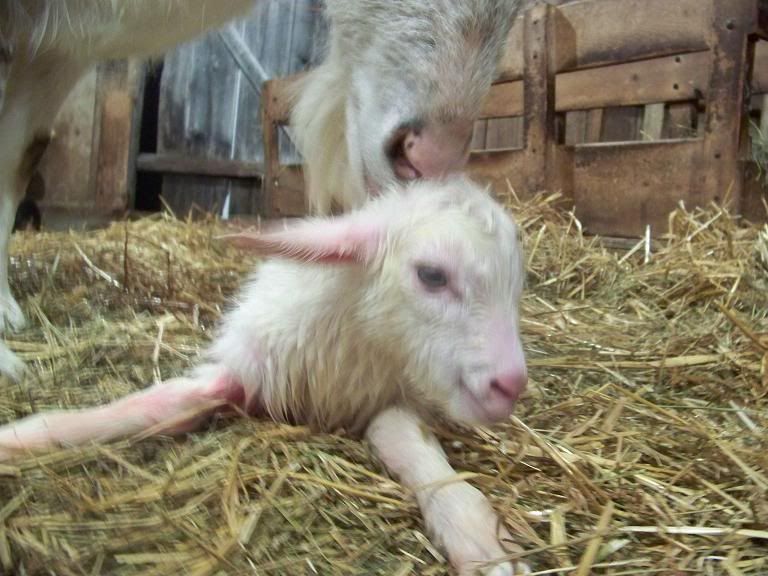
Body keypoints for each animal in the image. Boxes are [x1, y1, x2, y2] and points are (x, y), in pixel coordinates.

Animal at [0, 176, 531, 575]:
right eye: (432, 275)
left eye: (515, 283)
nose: (511, 385)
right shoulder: (251, 364)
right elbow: (160, 403)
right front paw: (23, 438)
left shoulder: (388, 396)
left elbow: (406, 442)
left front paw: (479, 540)